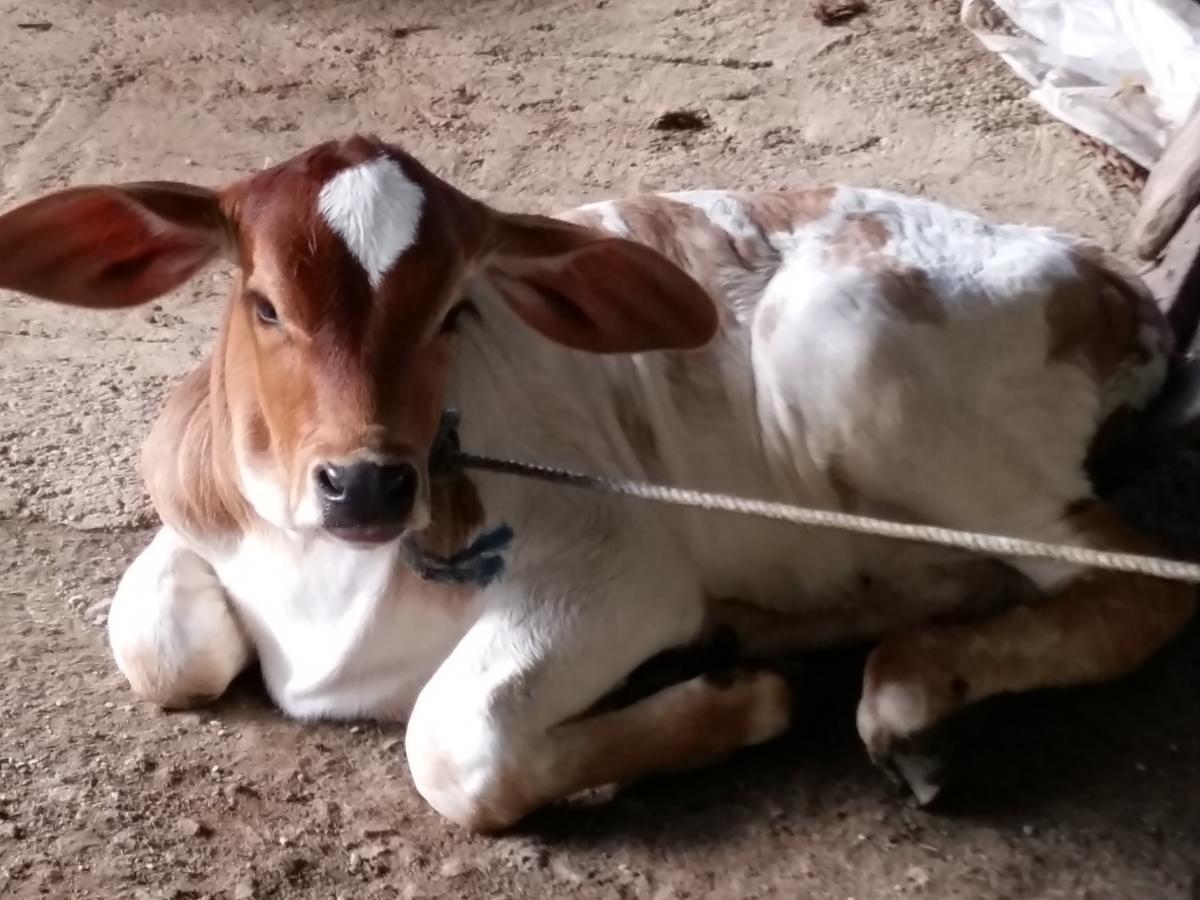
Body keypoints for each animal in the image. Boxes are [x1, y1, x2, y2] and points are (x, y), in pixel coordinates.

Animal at [4, 133, 1195, 830]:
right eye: (263, 304)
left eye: (455, 309)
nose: (366, 485)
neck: (324, 588)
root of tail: (1105, 276)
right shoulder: (194, 512)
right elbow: (160, 648)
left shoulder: (619, 570)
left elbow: (456, 747)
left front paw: (740, 707)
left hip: (854, 352)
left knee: (1137, 583)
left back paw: (901, 699)